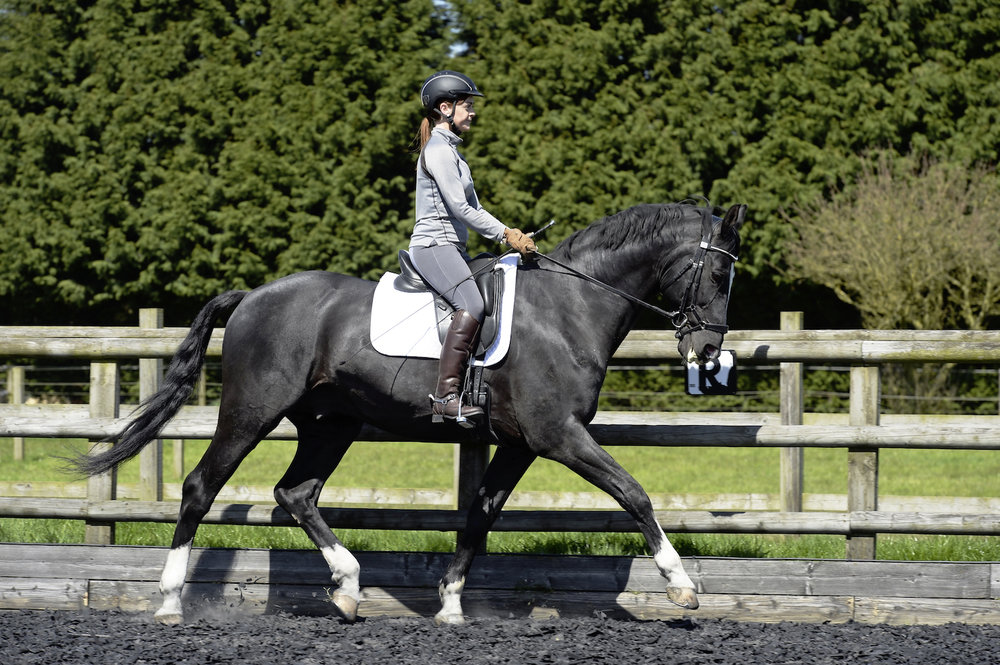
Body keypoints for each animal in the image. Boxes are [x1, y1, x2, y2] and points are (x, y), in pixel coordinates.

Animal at [75, 200, 745, 625]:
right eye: (717, 271)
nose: (708, 352)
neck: (570, 307)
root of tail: (252, 297)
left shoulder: (521, 443)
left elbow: (480, 515)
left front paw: (449, 604)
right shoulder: (559, 435)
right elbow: (634, 493)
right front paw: (682, 587)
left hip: (332, 424)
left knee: (296, 494)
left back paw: (348, 588)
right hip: (251, 410)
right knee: (201, 486)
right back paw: (170, 601)